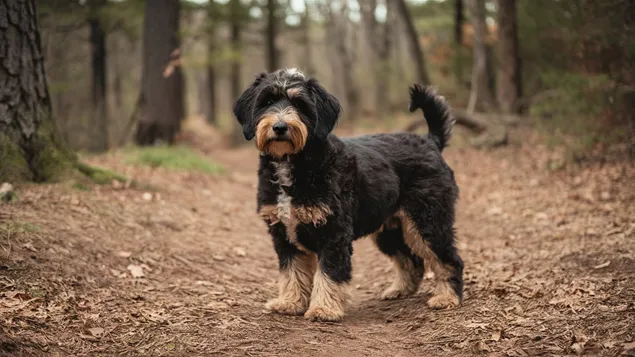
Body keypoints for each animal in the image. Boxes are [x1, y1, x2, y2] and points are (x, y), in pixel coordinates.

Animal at [232, 68, 462, 322]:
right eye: (267, 102)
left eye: (300, 104)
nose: (280, 127)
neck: (297, 164)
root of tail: (431, 141)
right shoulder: (284, 236)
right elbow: (292, 272)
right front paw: (290, 302)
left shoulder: (333, 233)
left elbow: (329, 273)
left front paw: (323, 309)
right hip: (390, 229)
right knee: (412, 261)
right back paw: (400, 290)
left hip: (428, 221)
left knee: (450, 259)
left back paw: (447, 297)